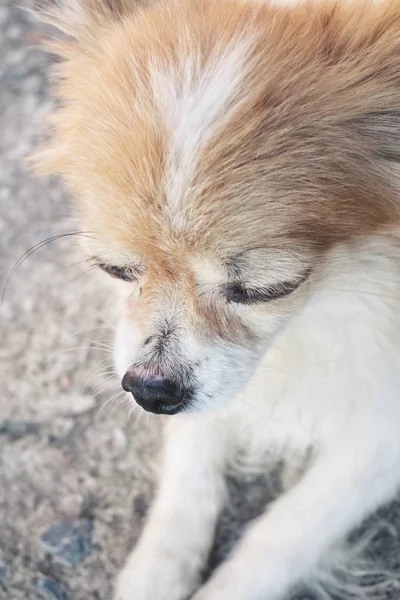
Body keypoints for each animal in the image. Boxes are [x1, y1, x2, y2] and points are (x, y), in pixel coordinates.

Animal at [32, 0, 400, 596]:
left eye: (265, 289)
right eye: (114, 269)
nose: (150, 391)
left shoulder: (381, 430)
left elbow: (291, 528)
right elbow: (192, 467)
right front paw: (157, 570)